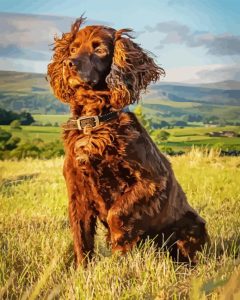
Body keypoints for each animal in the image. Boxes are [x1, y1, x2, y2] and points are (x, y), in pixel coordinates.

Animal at [47, 16, 208, 268]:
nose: (69, 64)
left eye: (100, 50)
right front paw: (83, 272)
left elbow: (118, 214)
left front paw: (119, 257)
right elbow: (81, 239)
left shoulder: (152, 182)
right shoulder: (77, 193)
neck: (95, 124)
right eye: (73, 49)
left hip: (192, 225)